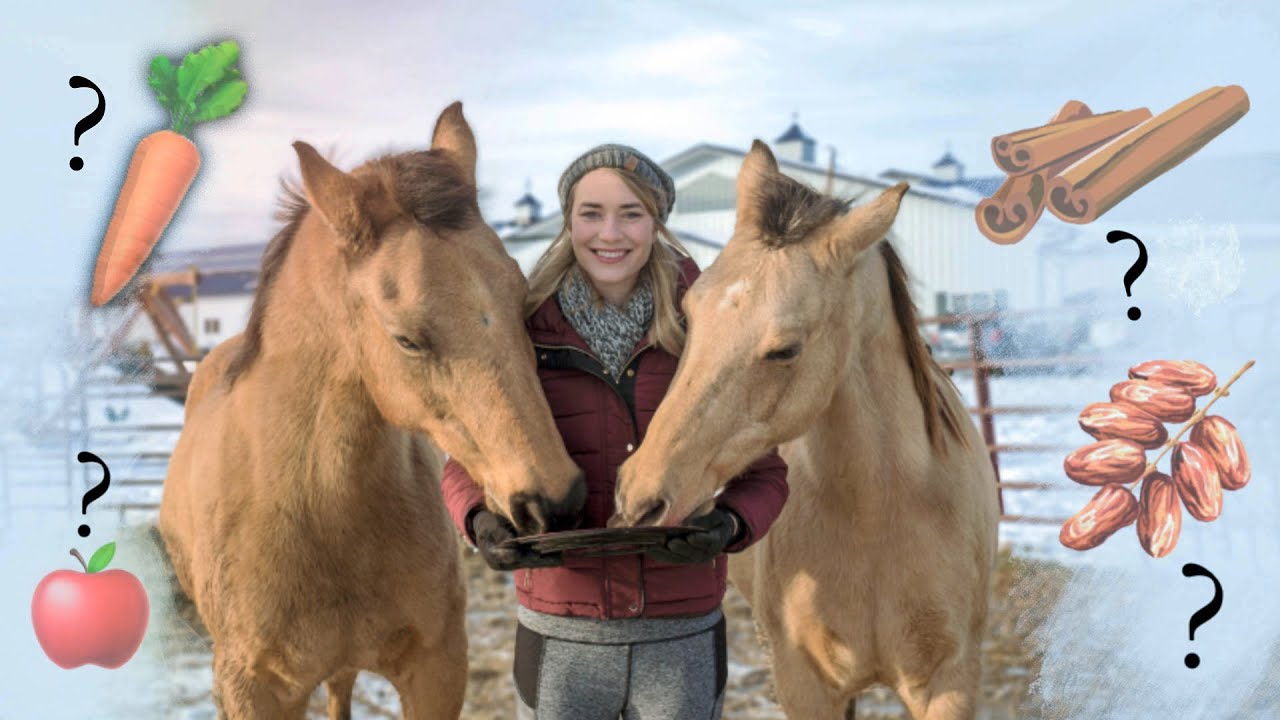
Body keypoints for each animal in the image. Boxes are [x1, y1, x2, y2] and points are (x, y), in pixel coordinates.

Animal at [611, 141, 998, 719]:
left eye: (784, 349)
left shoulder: (952, 682)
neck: (880, 516)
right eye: (688, 314)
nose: (639, 496)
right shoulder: (804, 683)